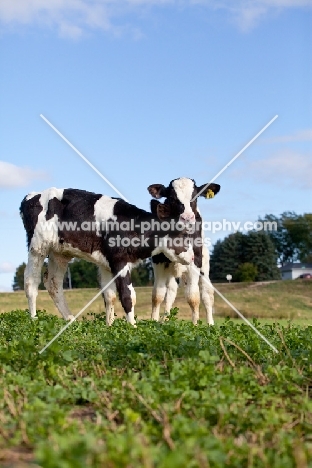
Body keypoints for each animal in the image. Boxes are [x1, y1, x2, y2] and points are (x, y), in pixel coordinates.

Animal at [20, 186, 193, 326]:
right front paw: (133, 327)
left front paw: (109, 326)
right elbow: (128, 295)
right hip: (38, 246)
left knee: (53, 283)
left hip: (59, 253)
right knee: (31, 282)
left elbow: (110, 296)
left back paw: (71, 321)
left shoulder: (106, 264)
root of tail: (31, 196)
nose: (192, 258)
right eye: (182, 234)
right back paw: (34, 320)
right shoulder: (119, 261)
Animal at [147, 178, 221, 326]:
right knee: (170, 292)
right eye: (172, 198)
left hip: (204, 267)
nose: (187, 217)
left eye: (196, 196)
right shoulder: (158, 263)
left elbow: (193, 298)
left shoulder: (194, 264)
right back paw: (165, 320)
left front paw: (195, 325)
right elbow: (157, 295)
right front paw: (154, 322)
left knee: (207, 294)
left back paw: (210, 324)